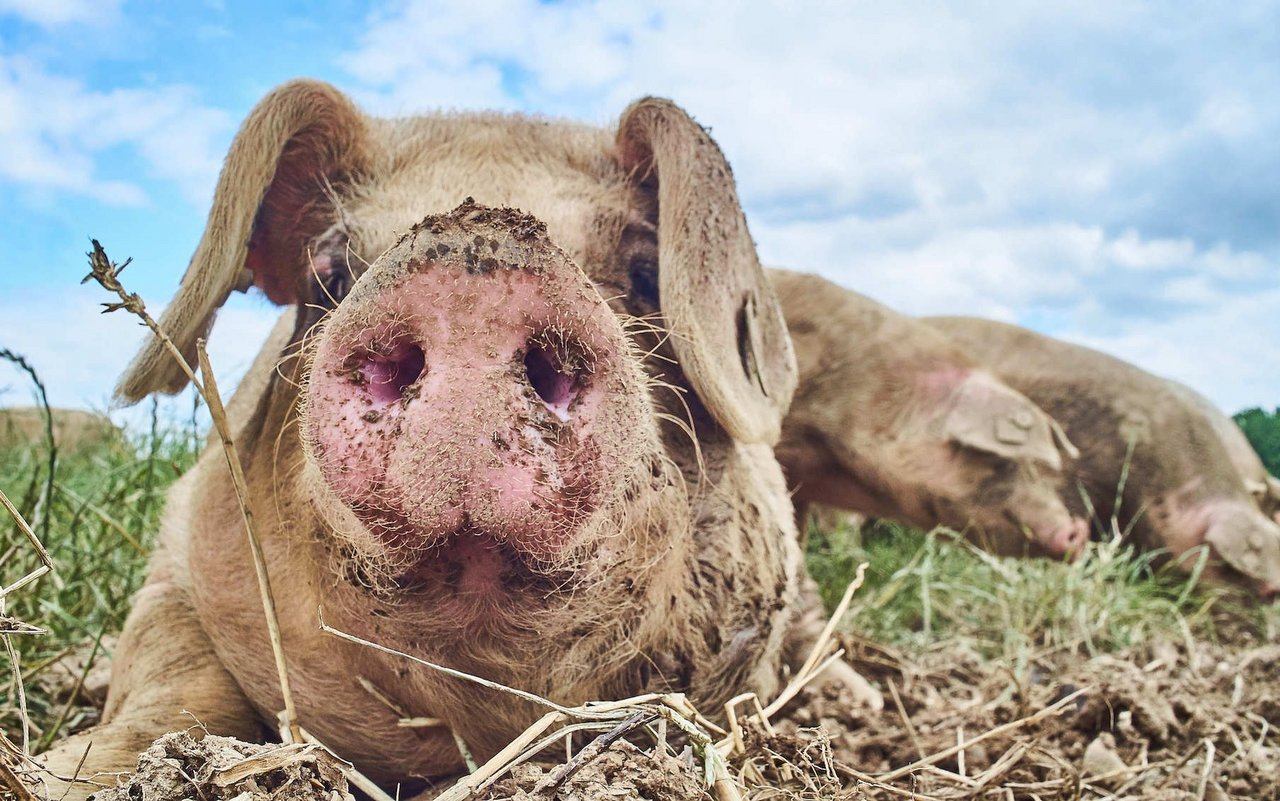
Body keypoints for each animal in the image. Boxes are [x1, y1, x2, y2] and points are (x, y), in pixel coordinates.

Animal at [35, 78, 870, 793]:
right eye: (328, 270)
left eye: (642, 268)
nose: (473, 276)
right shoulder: (175, 548)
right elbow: (169, 669)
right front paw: (63, 774)